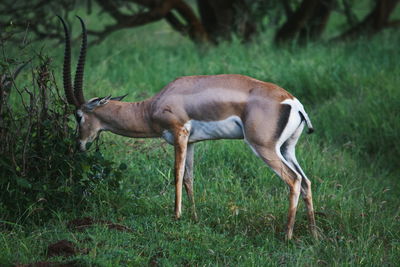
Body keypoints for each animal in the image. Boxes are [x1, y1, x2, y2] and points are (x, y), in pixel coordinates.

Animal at [57, 16, 318, 241]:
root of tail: (293, 102)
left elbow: (176, 174)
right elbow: (189, 178)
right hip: (286, 149)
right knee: (306, 181)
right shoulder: (192, 142)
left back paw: (287, 235)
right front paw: (194, 217)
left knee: (294, 180)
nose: (79, 144)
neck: (153, 105)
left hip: (263, 147)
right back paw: (314, 235)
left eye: (78, 116)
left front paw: (177, 215)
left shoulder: (179, 134)